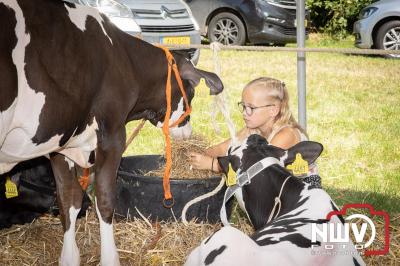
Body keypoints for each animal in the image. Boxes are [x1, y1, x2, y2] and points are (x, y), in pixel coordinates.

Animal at [0, 1, 223, 264]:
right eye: (192, 92)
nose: (187, 132)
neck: (125, 60)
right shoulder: (112, 135)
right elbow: (105, 200)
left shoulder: (61, 144)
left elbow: (69, 200)